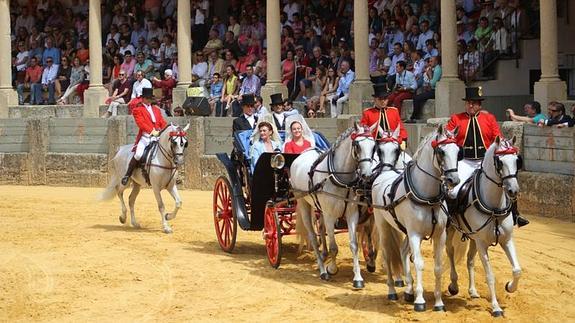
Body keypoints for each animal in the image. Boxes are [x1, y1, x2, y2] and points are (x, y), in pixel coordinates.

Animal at [292, 123, 378, 290]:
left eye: (374, 146)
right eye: (357, 146)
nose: (366, 175)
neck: (340, 177)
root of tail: (301, 155)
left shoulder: (352, 214)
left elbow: (354, 245)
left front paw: (358, 278)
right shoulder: (330, 215)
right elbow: (334, 247)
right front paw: (332, 269)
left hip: (320, 208)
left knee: (321, 229)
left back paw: (323, 256)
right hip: (304, 204)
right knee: (313, 236)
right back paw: (322, 269)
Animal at [372, 125, 462, 312]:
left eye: (458, 151)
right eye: (441, 151)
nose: (453, 179)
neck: (428, 197)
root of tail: (383, 174)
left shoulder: (440, 235)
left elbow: (437, 266)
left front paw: (438, 302)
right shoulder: (414, 234)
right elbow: (419, 264)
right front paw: (420, 301)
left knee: (403, 251)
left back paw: (408, 290)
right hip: (383, 226)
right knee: (387, 255)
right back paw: (392, 291)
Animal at [448, 136, 524, 316]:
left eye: (516, 160)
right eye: (499, 162)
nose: (513, 191)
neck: (494, 206)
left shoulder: (506, 240)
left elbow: (517, 270)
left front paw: (510, 287)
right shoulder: (482, 244)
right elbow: (490, 275)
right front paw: (496, 307)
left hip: (473, 238)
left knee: (469, 260)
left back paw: (473, 291)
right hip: (451, 230)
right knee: (450, 252)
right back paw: (453, 285)